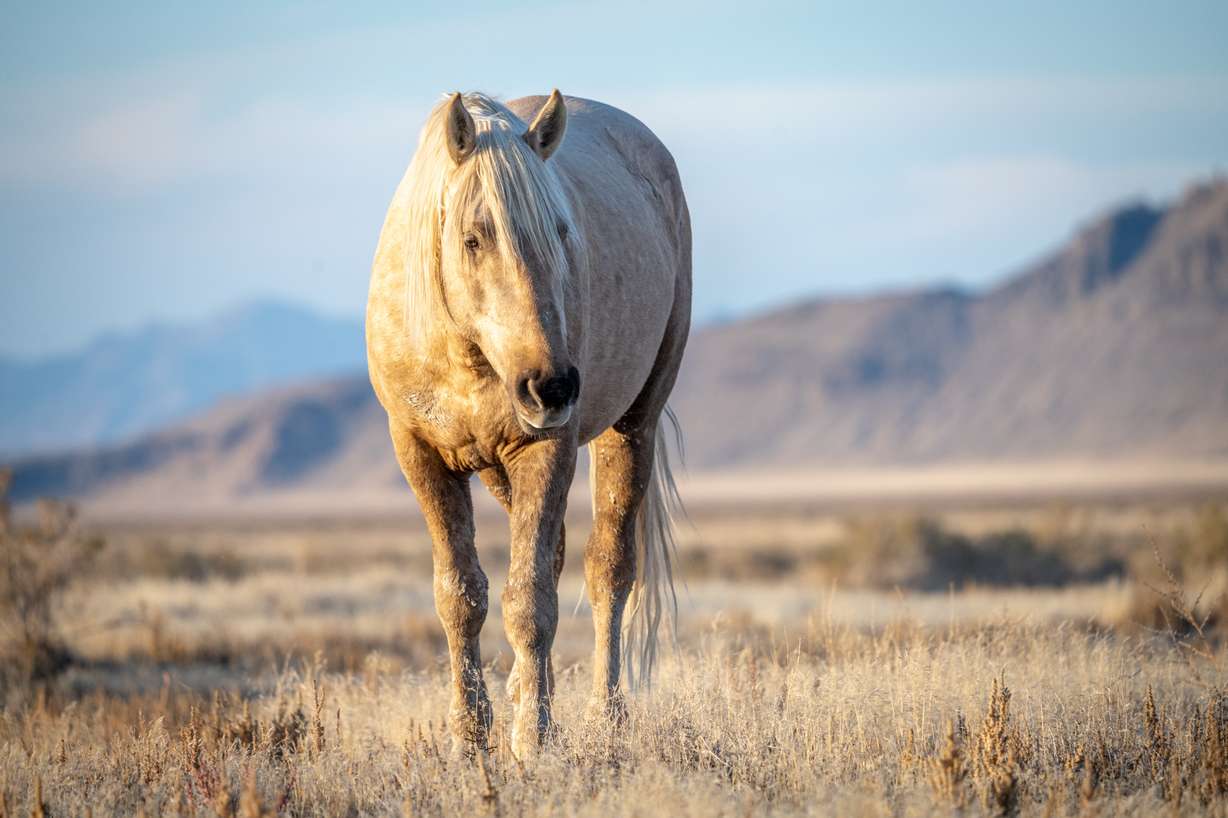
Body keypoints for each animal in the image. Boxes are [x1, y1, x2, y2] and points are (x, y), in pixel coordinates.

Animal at [366, 90, 691, 759]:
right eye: (471, 239)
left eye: (563, 233)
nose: (553, 386)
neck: (463, 356)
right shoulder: (421, 456)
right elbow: (460, 596)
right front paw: (471, 739)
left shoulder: (546, 448)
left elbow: (529, 600)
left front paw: (531, 740)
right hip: (498, 470)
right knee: (557, 554)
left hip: (632, 427)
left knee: (608, 570)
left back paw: (603, 717)